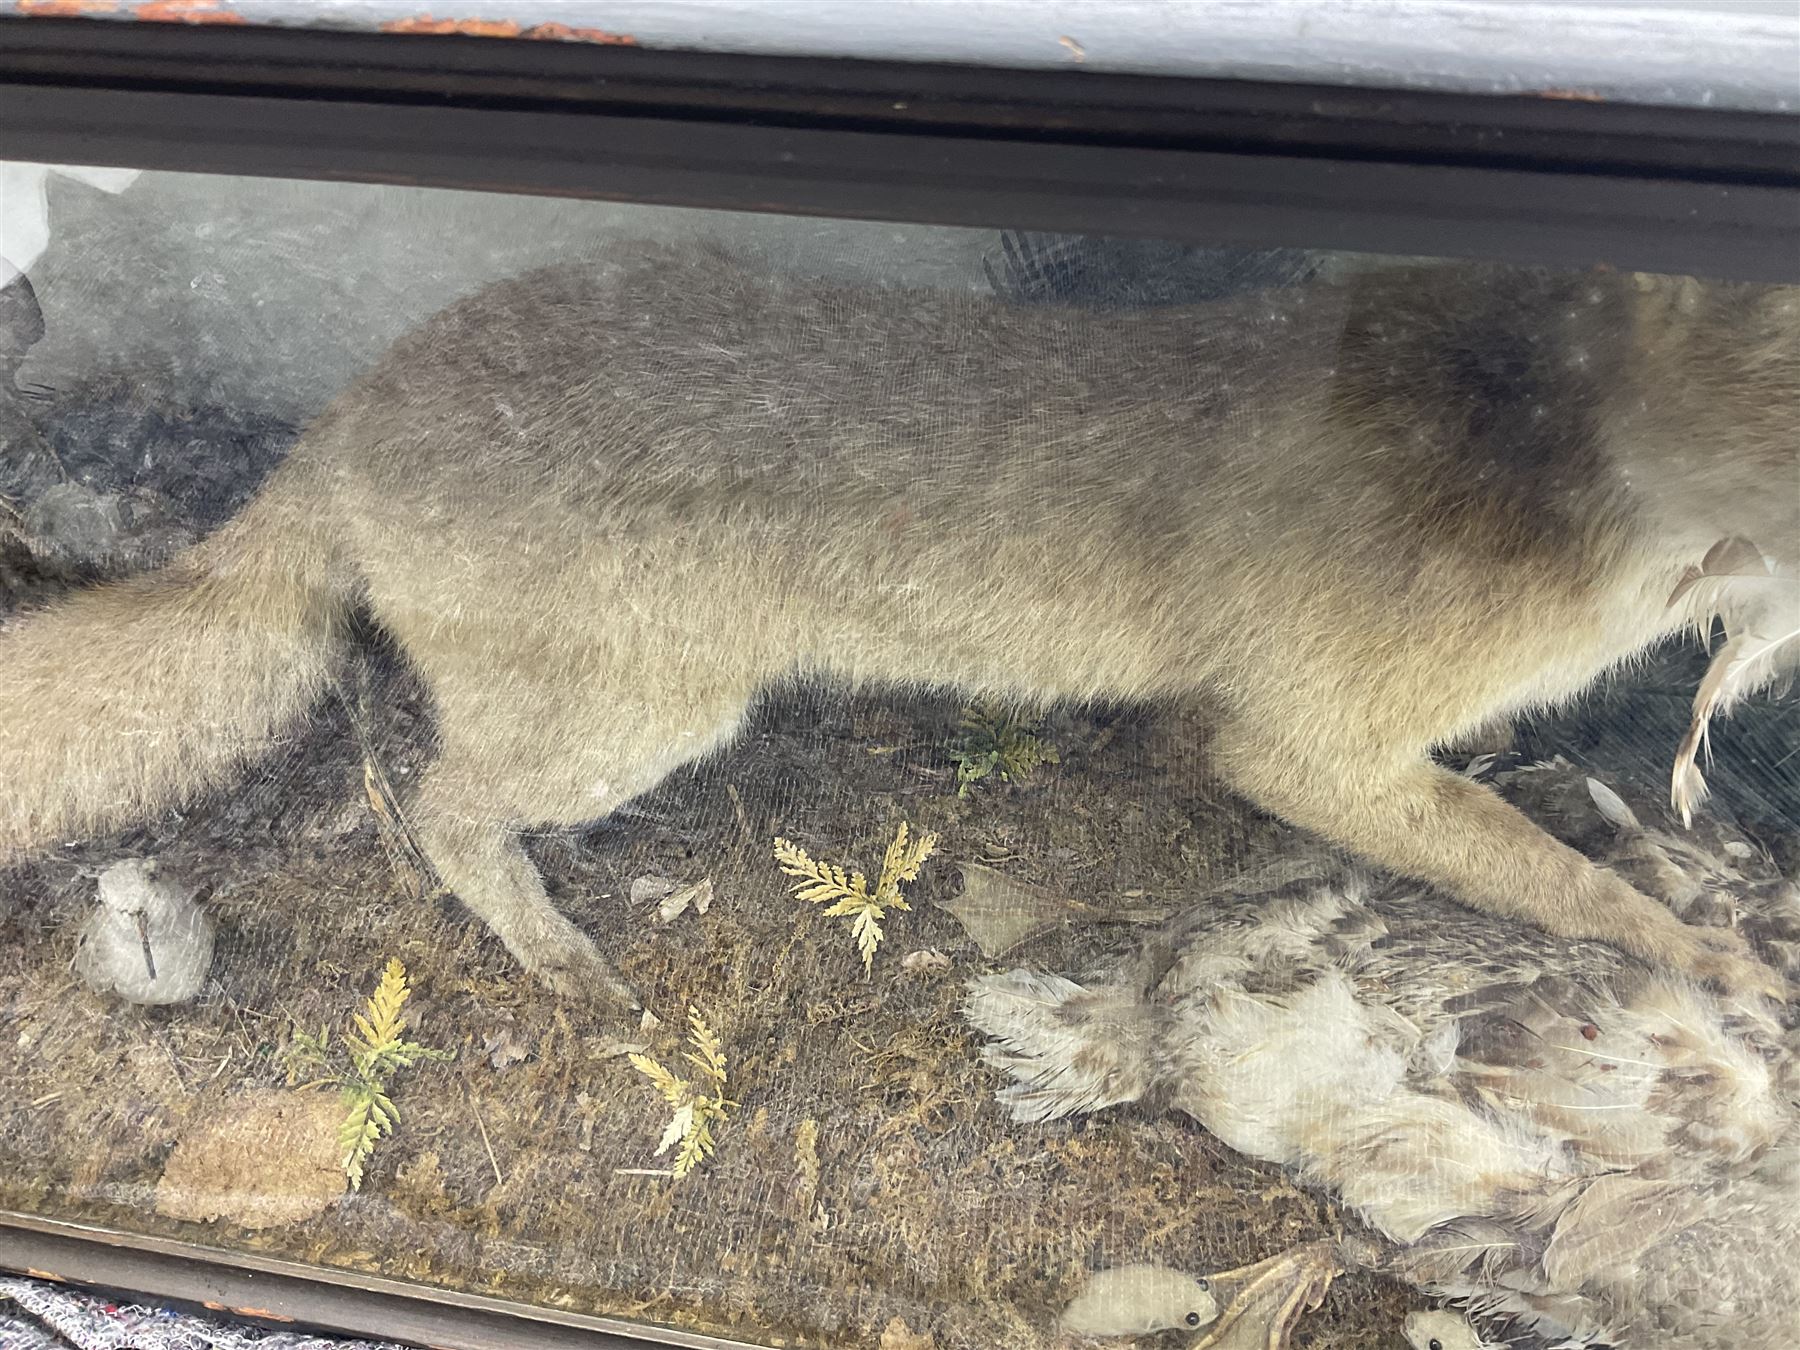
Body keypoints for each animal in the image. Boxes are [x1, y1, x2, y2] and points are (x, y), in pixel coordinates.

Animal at [0, 243, 1792, 1008]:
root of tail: (345, 415)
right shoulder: (1303, 746)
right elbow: (1548, 877)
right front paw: (1702, 951)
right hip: (648, 714)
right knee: (441, 806)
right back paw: (555, 952)